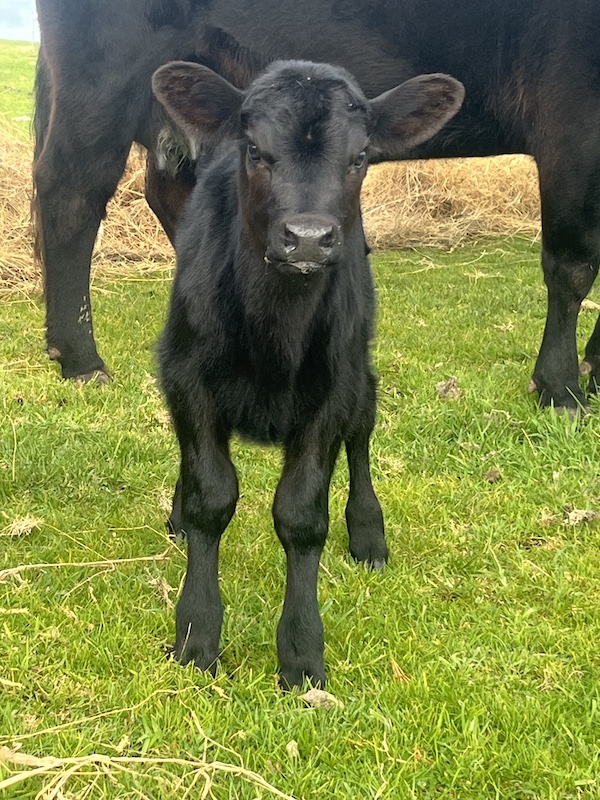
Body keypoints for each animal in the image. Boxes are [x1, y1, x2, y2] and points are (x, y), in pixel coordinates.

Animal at [33, 0, 600, 414]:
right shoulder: (572, 111)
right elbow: (573, 265)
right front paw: (561, 388)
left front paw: (592, 369)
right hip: (103, 75)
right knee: (70, 193)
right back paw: (81, 360)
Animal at [151, 58, 464, 686]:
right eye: (254, 149)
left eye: (361, 156)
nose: (309, 239)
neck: (275, 332)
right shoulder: (186, 376)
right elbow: (210, 497)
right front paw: (197, 633)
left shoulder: (331, 392)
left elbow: (300, 514)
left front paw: (299, 651)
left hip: (361, 373)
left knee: (362, 437)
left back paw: (368, 533)